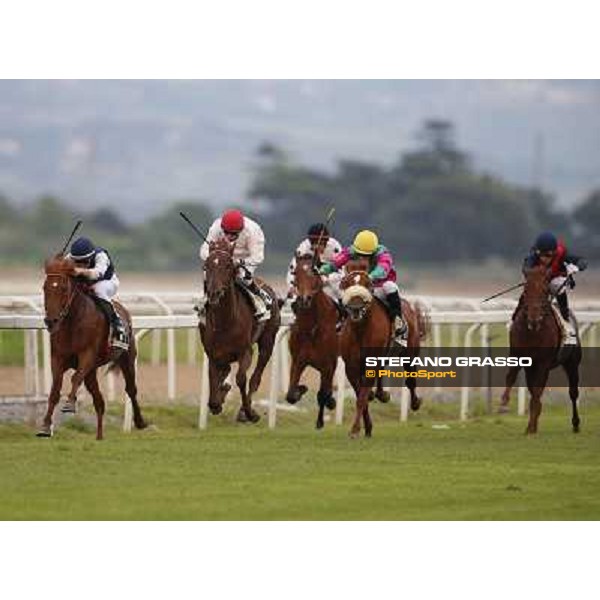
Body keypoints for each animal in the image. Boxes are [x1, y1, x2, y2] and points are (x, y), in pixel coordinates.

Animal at [37, 255, 148, 438]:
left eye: (64, 288)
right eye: (45, 288)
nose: (51, 321)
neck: (73, 322)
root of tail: (124, 310)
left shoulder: (87, 355)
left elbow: (75, 378)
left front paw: (70, 404)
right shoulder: (58, 358)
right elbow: (54, 390)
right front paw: (45, 426)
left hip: (127, 358)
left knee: (131, 389)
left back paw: (140, 422)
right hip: (92, 372)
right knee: (99, 401)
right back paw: (99, 436)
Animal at [198, 238, 280, 422]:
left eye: (228, 264)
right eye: (207, 265)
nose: (214, 293)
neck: (226, 322)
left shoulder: (246, 351)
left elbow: (241, 379)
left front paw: (249, 412)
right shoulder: (213, 354)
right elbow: (213, 382)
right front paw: (218, 400)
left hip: (268, 342)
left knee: (256, 378)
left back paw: (245, 410)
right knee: (227, 371)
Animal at [284, 255, 338, 428]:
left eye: (315, 273)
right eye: (295, 273)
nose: (304, 299)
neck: (312, 327)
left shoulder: (328, 364)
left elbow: (323, 394)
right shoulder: (298, 361)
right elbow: (290, 394)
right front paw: (301, 389)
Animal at [340, 264, 428, 438]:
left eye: (368, 284)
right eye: (346, 284)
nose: (355, 308)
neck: (361, 330)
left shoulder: (370, 363)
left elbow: (361, 398)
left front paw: (355, 430)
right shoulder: (351, 367)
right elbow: (361, 395)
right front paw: (367, 427)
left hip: (410, 352)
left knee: (410, 380)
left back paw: (415, 402)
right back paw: (381, 394)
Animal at [502, 264, 580, 434]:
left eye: (545, 291)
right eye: (525, 290)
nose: (534, 319)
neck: (533, 332)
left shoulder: (543, 363)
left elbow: (537, 392)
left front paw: (531, 426)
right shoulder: (518, 356)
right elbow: (511, 377)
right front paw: (504, 403)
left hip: (572, 362)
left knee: (573, 392)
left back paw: (576, 423)